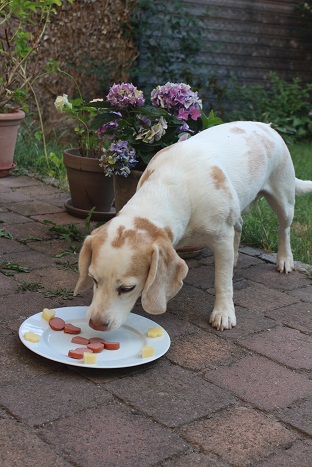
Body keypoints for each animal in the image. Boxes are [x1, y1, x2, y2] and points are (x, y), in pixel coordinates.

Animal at [73, 121, 312, 332]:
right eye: (93, 279)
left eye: (126, 288)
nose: (96, 324)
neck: (172, 186)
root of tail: (267, 127)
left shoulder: (221, 238)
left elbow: (222, 281)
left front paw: (223, 312)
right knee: (240, 226)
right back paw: (236, 257)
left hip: (283, 200)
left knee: (284, 229)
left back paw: (284, 259)